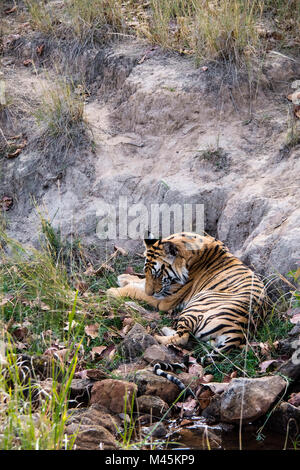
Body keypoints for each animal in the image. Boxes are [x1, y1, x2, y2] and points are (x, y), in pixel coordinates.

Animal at [106, 233, 266, 358]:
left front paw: (113, 291)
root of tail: (238, 333)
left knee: (182, 338)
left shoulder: (165, 299)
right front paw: (124, 278)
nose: (150, 291)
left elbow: (137, 290)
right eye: (146, 271)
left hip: (196, 305)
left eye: (158, 275)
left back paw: (158, 333)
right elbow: (139, 283)